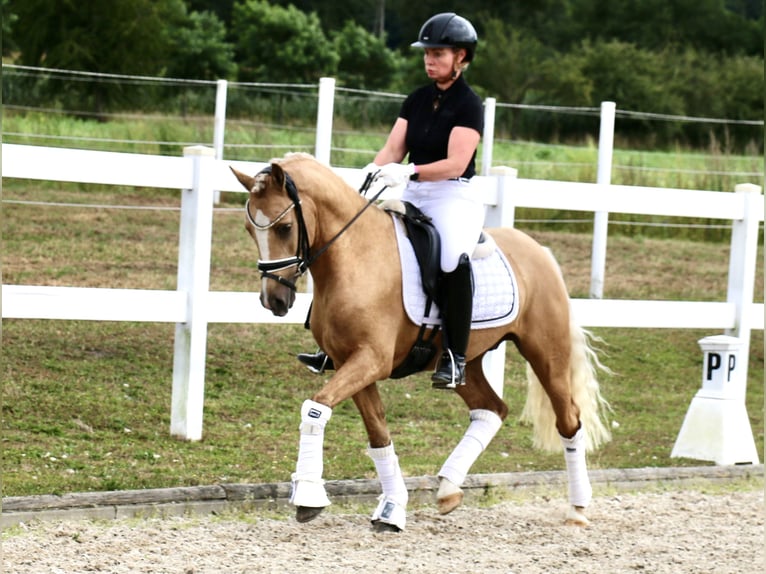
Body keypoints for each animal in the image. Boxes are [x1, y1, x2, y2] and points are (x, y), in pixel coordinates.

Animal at [231, 152, 612, 532]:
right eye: (249, 229)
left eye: (284, 227)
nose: (273, 300)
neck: (356, 256)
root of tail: (538, 249)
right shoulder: (348, 363)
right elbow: (378, 434)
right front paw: (391, 508)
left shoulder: (371, 360)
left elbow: (315, 408)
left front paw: (308, 496)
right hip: (468, 362)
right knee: (492, 409)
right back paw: (448, 488)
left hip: (547, 353)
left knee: (569, 420)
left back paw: (578, 508)